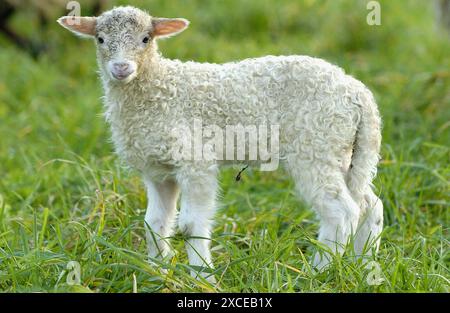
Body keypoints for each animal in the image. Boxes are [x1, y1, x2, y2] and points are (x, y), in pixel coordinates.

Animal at [58, 5, 384, 282]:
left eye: (145, 39)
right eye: (101, 39)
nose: (121, 68)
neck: (158, 87)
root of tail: (358, 93)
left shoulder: (195, 160)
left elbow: (190, 225)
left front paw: (203, 278)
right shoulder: (158, 171)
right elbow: (155, 224)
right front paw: (156, 274)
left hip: (316, 146)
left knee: (341, 210)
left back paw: (317, 272)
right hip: (347, 151)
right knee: (369, 204)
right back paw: (364, 266)